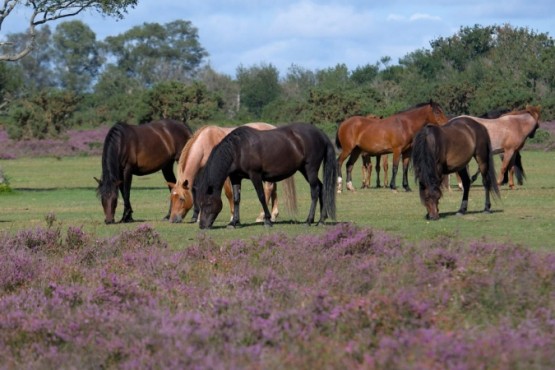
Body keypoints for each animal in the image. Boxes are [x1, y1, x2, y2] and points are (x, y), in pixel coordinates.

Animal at [166, 123, 298, 224]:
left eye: (181, 198)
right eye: (171, 198)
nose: (173, 219)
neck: (206, 142)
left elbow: (229, 193)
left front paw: (233, 216)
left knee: (268, 189)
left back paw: (262, 216)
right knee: (273, 189)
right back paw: (274, 215)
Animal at [195, 123, 336, 230]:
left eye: (208, 203)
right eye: (200, 203)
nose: (202, 225)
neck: (238, 149)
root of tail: (321, 134)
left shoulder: (255, 175)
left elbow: (261, 196)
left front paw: (267, 220)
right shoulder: (236, 177)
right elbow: (236, 199)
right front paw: (233, 222)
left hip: (310, 169)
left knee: (315, 190)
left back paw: (309, 220)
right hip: (304, 170)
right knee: (322, 188)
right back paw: (321, 220)